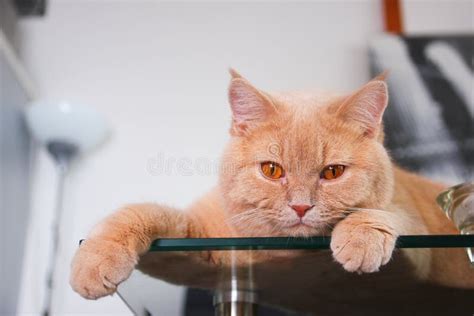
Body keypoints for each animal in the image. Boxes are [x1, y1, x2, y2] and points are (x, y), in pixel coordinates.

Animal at [70, 68, 474, 312]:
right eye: (271, 170)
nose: (301, 206)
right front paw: (94, 260)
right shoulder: (200, 238)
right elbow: (139, 212)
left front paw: (359, 238)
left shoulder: (418, 238)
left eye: (332, 172)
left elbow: (384, 214)